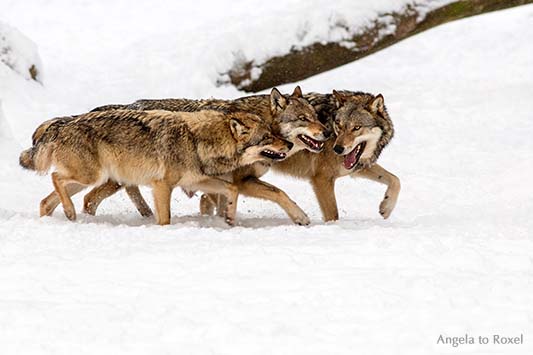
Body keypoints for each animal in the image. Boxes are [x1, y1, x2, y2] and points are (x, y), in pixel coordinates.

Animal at [19, 109, 290, 225]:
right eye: (267, 137)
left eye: (275, 132)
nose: (288, 143)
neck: (197, 140)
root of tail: (62, 123)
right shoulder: (162, 186)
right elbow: (165, 219)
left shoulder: (196, 181)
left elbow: (232, 189)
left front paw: (231, 218)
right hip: (89, 176)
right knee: (56, 177)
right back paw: (69, 212)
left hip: (88, 180)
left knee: (46, 201)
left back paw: (62, 220)